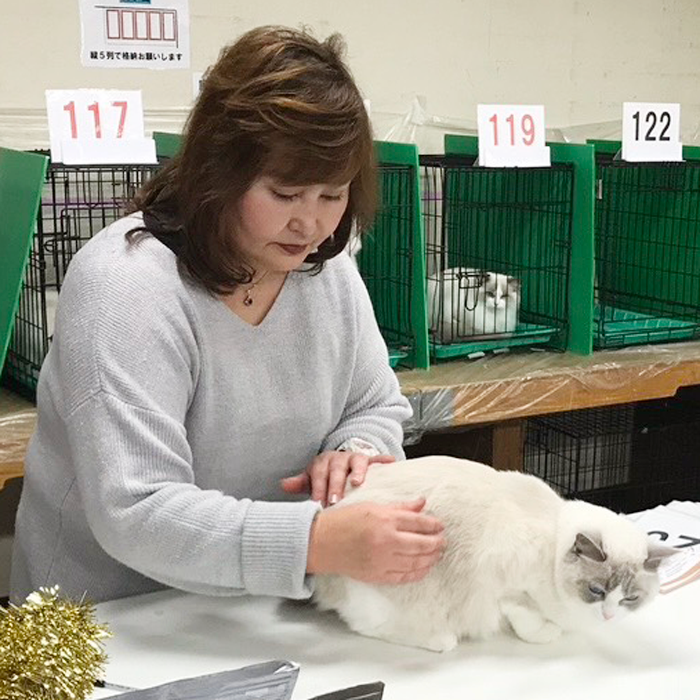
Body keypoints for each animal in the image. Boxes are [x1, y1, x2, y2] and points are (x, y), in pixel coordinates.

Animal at [313, 456, 676, 652]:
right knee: (367, 626)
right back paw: (439, 638)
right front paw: (546, 632)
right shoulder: (505, 582)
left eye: (630, 598)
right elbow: (524, 617)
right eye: (596, 590)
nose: (609, 615)